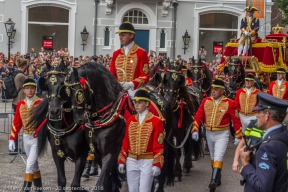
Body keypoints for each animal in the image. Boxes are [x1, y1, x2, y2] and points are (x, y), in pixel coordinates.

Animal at [29, 60, 88, 191]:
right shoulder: (57, 154)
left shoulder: (81, 155)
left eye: (63, 84)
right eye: (47, 85)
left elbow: (75, 184)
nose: (54, 111)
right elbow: (61, 181)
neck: (63, 127)